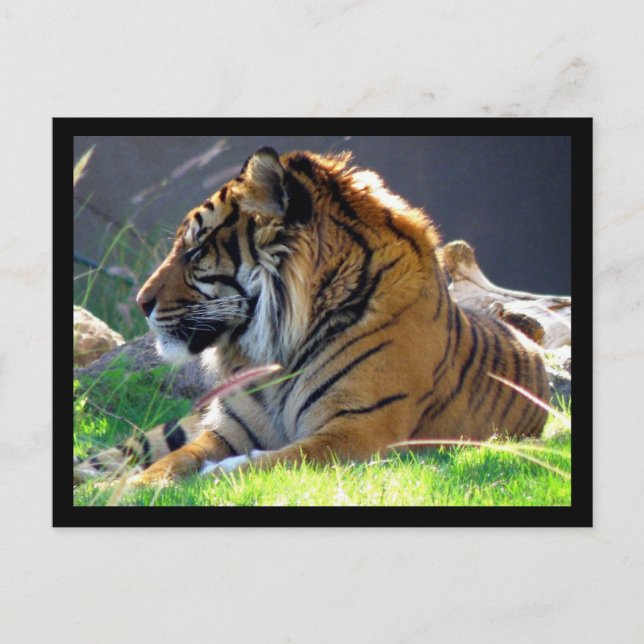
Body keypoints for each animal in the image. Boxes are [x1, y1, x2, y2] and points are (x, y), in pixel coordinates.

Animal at [74, 147, 549, 486]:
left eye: (195, 251)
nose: (141, 302)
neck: (277, 345)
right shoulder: (225, 431)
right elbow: (170, 463)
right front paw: (122, 490)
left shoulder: (361, 430)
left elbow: (281, 459)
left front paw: (220, 473)